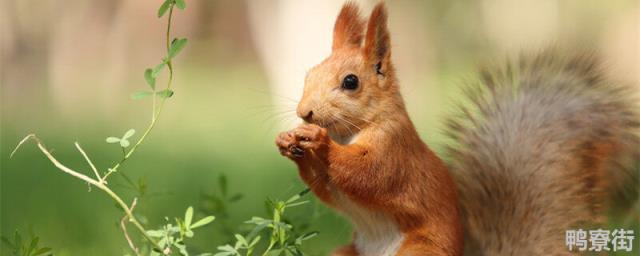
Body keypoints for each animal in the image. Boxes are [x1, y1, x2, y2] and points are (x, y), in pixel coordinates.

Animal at [276, 1, 640, 255]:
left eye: (351, 82)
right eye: (310, 74)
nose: (304, 112)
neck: (350, 131)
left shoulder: (394, 149)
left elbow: (367, 174)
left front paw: (319, 143)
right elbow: (326, 188)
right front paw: (288, 141)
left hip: (421, 251)